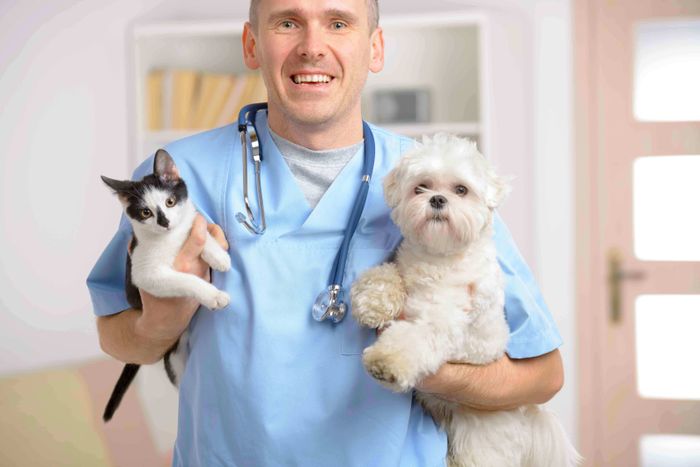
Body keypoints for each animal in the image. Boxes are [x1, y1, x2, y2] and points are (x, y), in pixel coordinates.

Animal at [100, 150, 231, 424]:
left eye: (170, 202)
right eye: (146, 212)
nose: (165, 222)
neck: (170, 239)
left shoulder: (191, 223)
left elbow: (198, 229)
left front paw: (217, 255)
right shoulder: (145, 274)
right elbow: (185, 280)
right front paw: (213, 295)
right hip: (175, 360)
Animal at [350, 134, 580, 467]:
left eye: (461, 190)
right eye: (421, 187)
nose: (437, 200)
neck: (438, 257)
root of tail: (525, 412)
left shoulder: (444, 320)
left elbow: (413, 339)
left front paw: (386, 362)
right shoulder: (403, 266)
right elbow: (386, 274)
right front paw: (372, 301)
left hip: (480, 434)